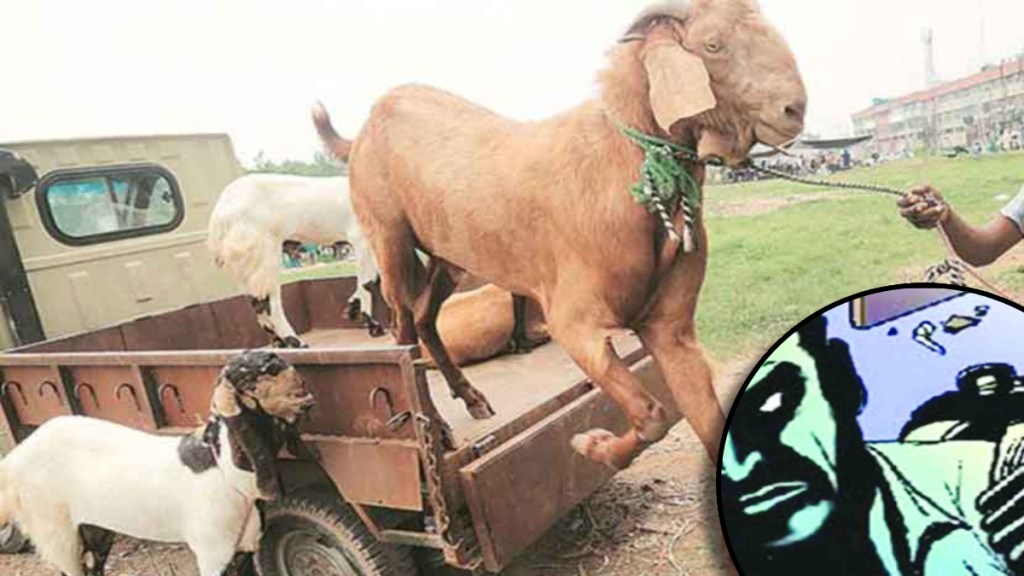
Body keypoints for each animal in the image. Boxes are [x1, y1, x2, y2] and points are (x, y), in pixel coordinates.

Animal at [0, 351, 316, 576]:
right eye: (251, 377)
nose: (305, 392)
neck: (222, 466)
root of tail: (14, 459)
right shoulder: (211, 551)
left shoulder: (241, 550)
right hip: (56, 534)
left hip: (93, 530)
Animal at [208, 173, 384, 348]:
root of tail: (219, 214)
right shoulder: (361, 237)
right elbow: (367, 281)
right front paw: (371, 324)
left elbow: (373, 278)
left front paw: (353, 308)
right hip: (265, 255)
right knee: (269, 302)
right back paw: (296, 342)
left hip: (246, 264)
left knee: (255, 301)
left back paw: (280, 342)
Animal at [314, 0, 806, 469]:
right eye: (712, 44)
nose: (793, 109)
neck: (623, 164)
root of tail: (363, 127)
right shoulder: (573, 320)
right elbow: (651, 414)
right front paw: (592, 445)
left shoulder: (670, 327)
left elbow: (703, 416)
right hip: (389, 236)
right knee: (402, 331)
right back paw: (437, 425)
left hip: (448, 255)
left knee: (423, 317)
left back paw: (472, 399)